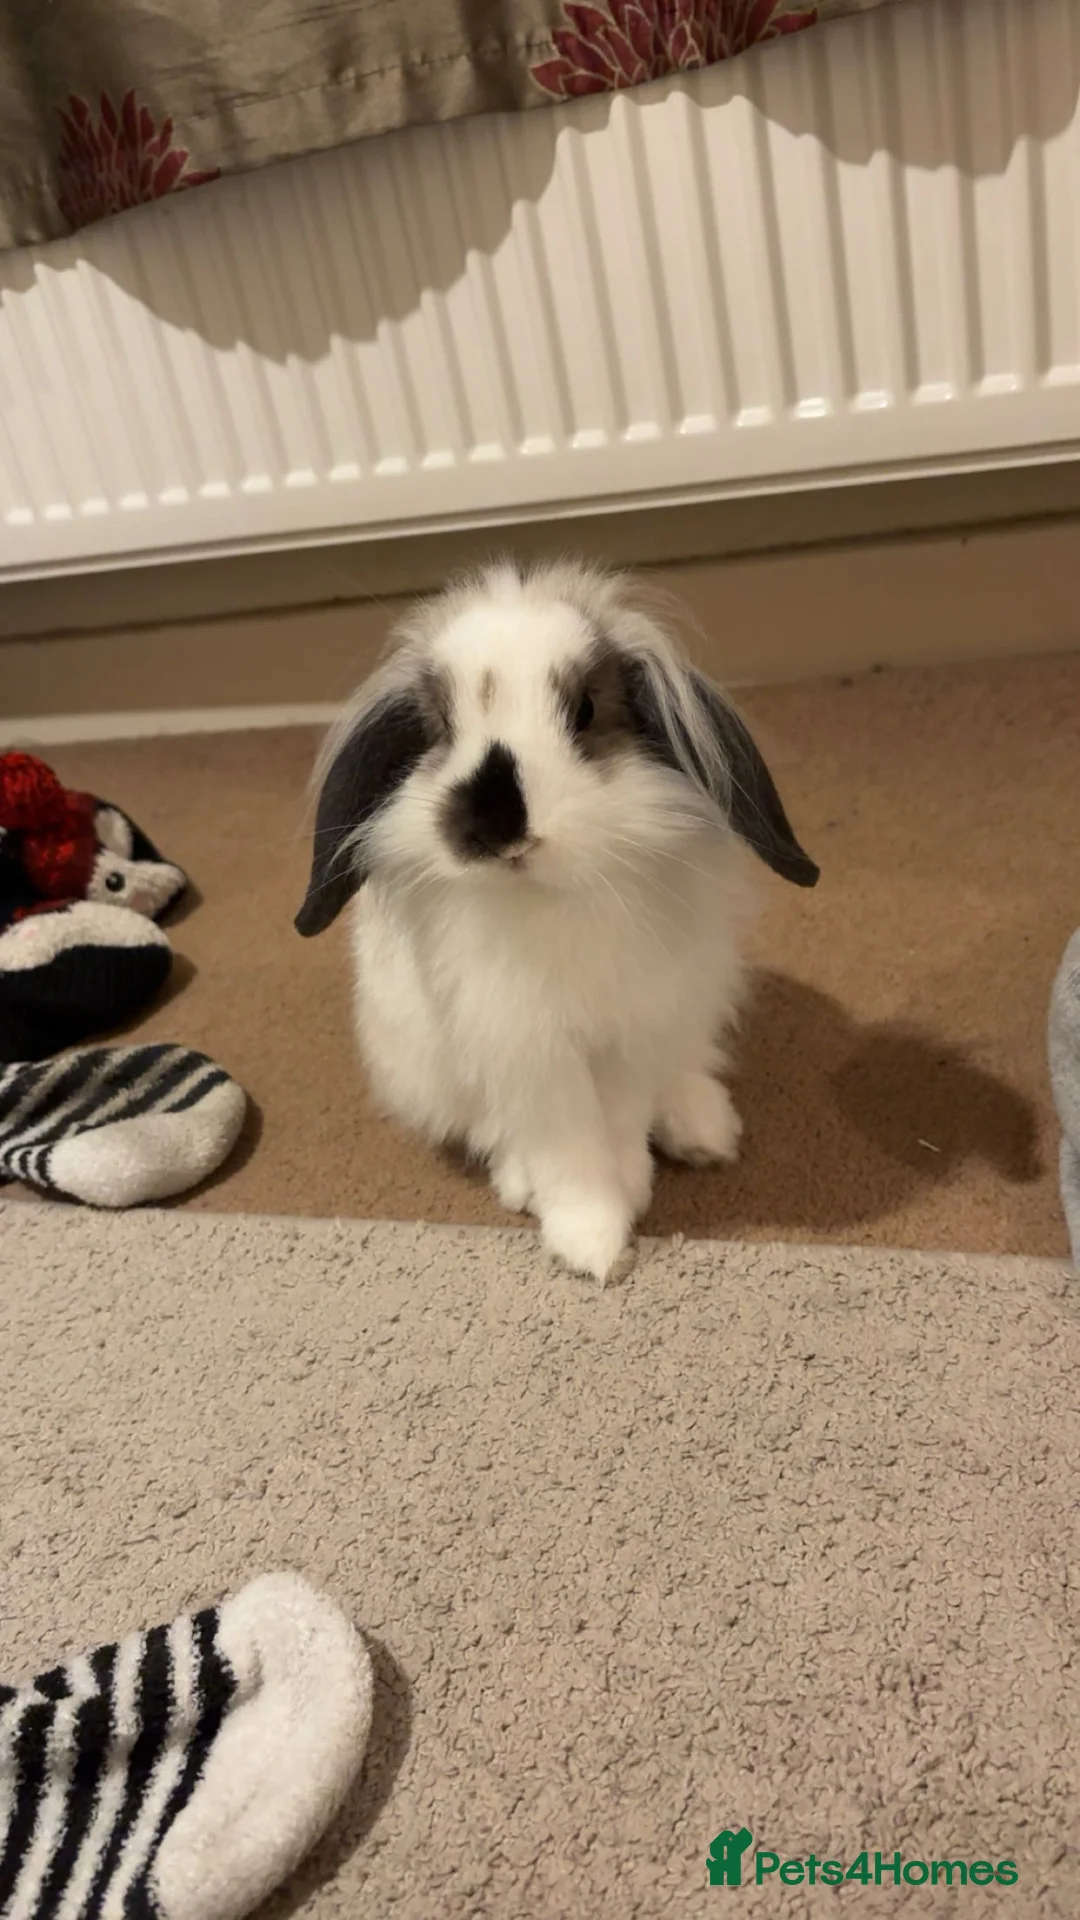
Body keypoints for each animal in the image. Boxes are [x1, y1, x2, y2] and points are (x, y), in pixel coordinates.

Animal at [296, 559, 818, 1283]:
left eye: (586, 710)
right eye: (441, 728)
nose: (494, 824)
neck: (548, 895)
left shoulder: (631, 1035)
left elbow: (622, 1121)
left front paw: (631, 1191)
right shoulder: (525, 1050)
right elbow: (565, 1149)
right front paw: (593, 1243)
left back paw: (704, 1130)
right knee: (484, 1125)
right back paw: (522, 1182)